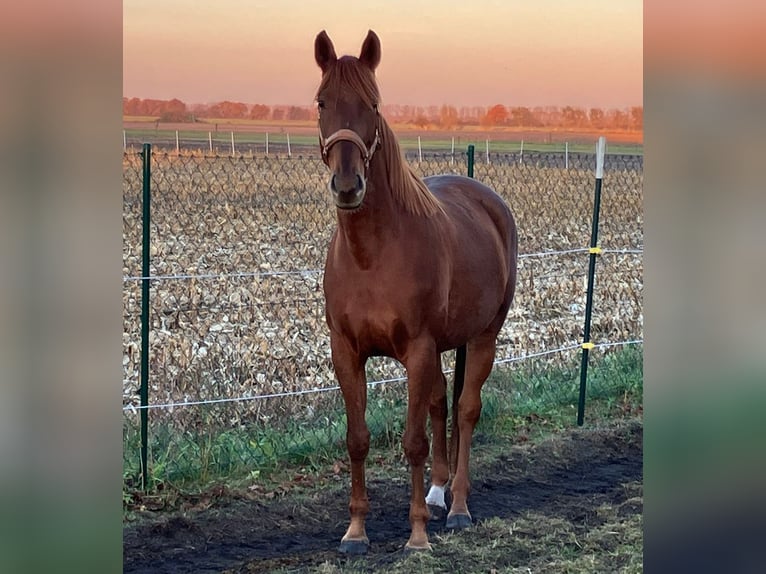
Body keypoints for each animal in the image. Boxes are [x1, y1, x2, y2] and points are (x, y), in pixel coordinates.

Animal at [314, 29, 518, 553]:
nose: (348, 185)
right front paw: (356, 532)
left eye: (373, 103)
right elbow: (358, 439)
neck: (372, 255)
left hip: (483, 336)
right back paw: (437, 492)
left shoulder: (419, 349)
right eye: (322, 101)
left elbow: (413, 442)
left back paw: (459, 506)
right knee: (441, 402)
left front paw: (418, 536)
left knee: (465, 410)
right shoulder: (346, 351)